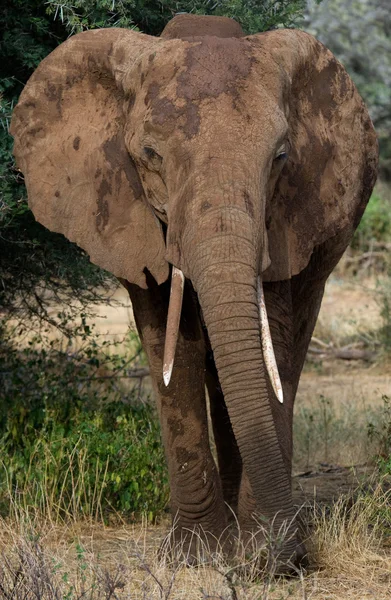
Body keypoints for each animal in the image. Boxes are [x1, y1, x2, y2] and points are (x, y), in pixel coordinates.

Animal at [11, 12, 380, 568]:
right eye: (149, 155)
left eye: (281, 157)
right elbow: (170, 345)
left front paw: (265, 553)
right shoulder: (132, 216)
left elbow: (273, 341)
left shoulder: (285, 220)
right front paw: (194, 555)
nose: (291, 554)